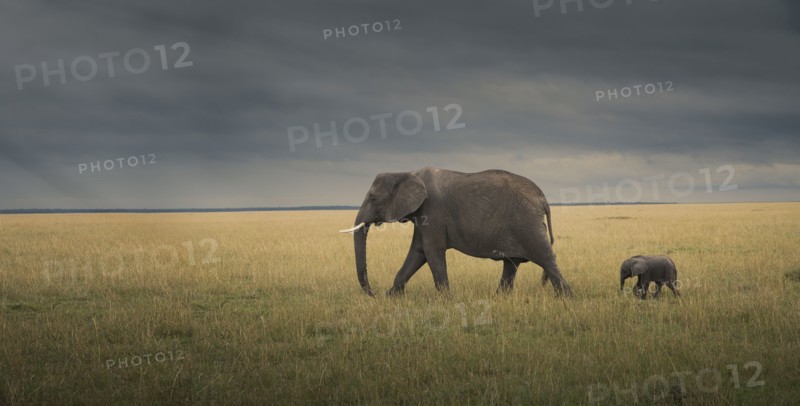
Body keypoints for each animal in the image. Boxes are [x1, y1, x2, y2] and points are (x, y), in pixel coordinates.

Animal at [339, 167, 572, 297]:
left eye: (373, 198)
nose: (373, 293)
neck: (407, 173)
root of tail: (543, 199)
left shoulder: (431, 210)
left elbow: (431, 251)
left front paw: (446, 299)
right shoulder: (422, 214)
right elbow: (418, 252)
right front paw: (391, 296)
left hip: (527, 223)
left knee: (545, 257)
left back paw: (565, 298)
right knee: (511, 263)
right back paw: (500, 297)